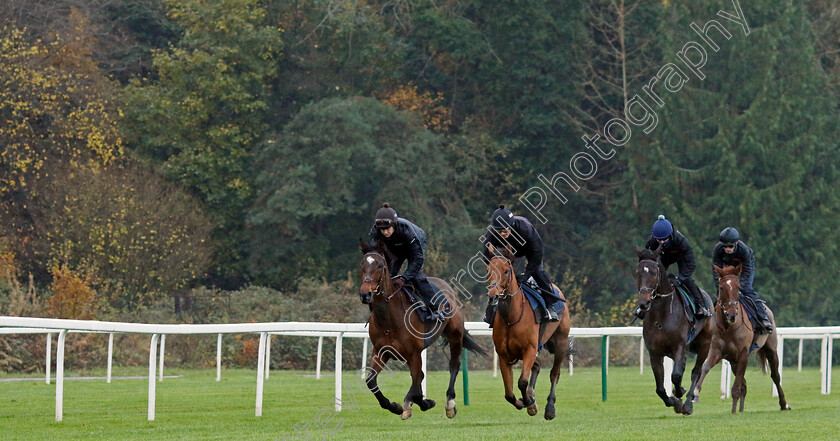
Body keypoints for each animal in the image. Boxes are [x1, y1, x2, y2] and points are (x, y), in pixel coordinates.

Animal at [356, 239, 486, 418]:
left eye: (380, 265)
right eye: (362, 264)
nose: (365, 294)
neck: (389, 320)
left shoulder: (413, 352)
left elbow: (417, 379)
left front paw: (413, 403)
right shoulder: (381, 351)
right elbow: (371, 381)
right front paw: (395, 406)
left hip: (455, 334)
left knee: (453, 365)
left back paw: (450, 403)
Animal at [486, 244, 572, 420]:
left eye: (506, 271)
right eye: (488, 269)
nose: (493, 296)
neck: (511, 318)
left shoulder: (530, 349)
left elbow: (522, 382)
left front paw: (529, 401)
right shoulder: (504, 355)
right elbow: (509, 393)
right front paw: (524, 402)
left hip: (560, 341)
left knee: (555, 374)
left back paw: (549, 408)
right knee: (537, 366)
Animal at [632, 248, 712, 412]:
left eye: (654, 272)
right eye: (638, 272)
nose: (644, 302)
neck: (661, 317)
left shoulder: (679, 346)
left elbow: (675, 375)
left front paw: (681, 397)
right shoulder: (655, 352)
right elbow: (660, 388)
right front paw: (673, 401)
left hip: (705, 344)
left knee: (696, 371)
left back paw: (688, 402)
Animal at [684, 264, 792, 412]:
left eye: (738, 287)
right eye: (722, 287)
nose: (731, 314)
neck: (728, 328)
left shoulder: (743, 354)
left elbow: (737, 386)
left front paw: (733, 411)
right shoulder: (716, 350)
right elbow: (706, 367)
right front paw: (695, 393)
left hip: (770, 349)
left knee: (775, 376)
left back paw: (784, 404)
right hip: (733, 361)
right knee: (744, 384)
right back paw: (741, 409)